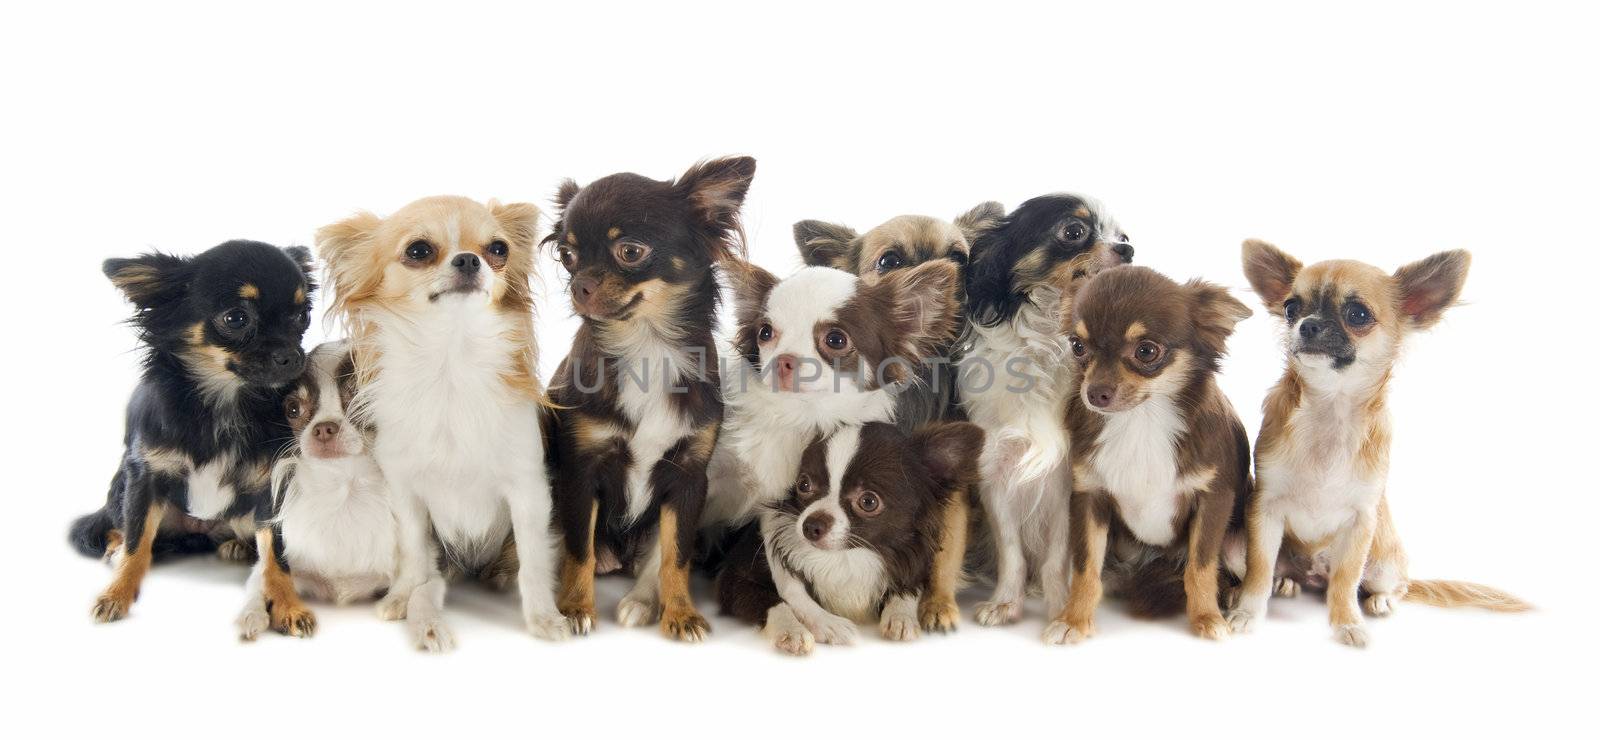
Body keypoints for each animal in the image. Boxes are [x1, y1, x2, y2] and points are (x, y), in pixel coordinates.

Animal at [315, 193, 560, 650]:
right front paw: (403, 595)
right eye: (418, 251)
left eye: (498, 249)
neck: (452, 363)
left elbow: (535, 560)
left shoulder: (528, 491)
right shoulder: (407, 494)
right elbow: (412, 550)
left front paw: (543, 617)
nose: (469, 259)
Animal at [1049, 264, 1260, 640]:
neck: (1142, 421)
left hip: (1238, 544)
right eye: (1077, 346)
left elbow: (1201, 567)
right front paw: (1073, 619)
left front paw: (1207, 618)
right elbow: (1086, 569)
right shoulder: (1089, 497)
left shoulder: (1214, 498)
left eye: (1146, 351)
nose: (1094, 393)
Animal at [1228, 241, 1529, 647]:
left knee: (1388, 585)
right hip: (1238, 547)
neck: (1331, 410)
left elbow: (1344, 581)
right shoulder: (1265, 511)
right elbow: (1258, 571)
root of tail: (1313, 575)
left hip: (1385, 561)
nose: (1307, 324)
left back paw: (1380, 600)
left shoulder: (1361, 521)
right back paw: (1287, 581)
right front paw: (1248, 612)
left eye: (1358, 314)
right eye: (1291, 308)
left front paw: (1346, 624)